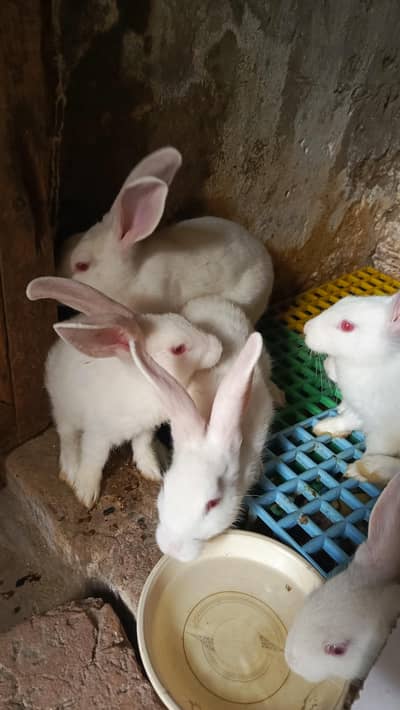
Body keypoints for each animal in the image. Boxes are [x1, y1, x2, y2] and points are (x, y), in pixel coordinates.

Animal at [26, 277, 222, 509]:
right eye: (178, 349)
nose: (219, 346)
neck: (143, 383)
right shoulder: (97, 435)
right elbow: (93, 460)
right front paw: (86, 493)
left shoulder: (145, 430)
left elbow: (142, 447)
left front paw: (152, 471)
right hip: (64, 410)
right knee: (67, 438)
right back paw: (70, 471)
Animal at [304, 292, 400, 484]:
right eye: (345, 299)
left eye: (347, 326)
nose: (306, 328)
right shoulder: (362, 411)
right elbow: (349, 419)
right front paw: (324, 427)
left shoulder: (385, 434)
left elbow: (373, 449)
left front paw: (357, 470)